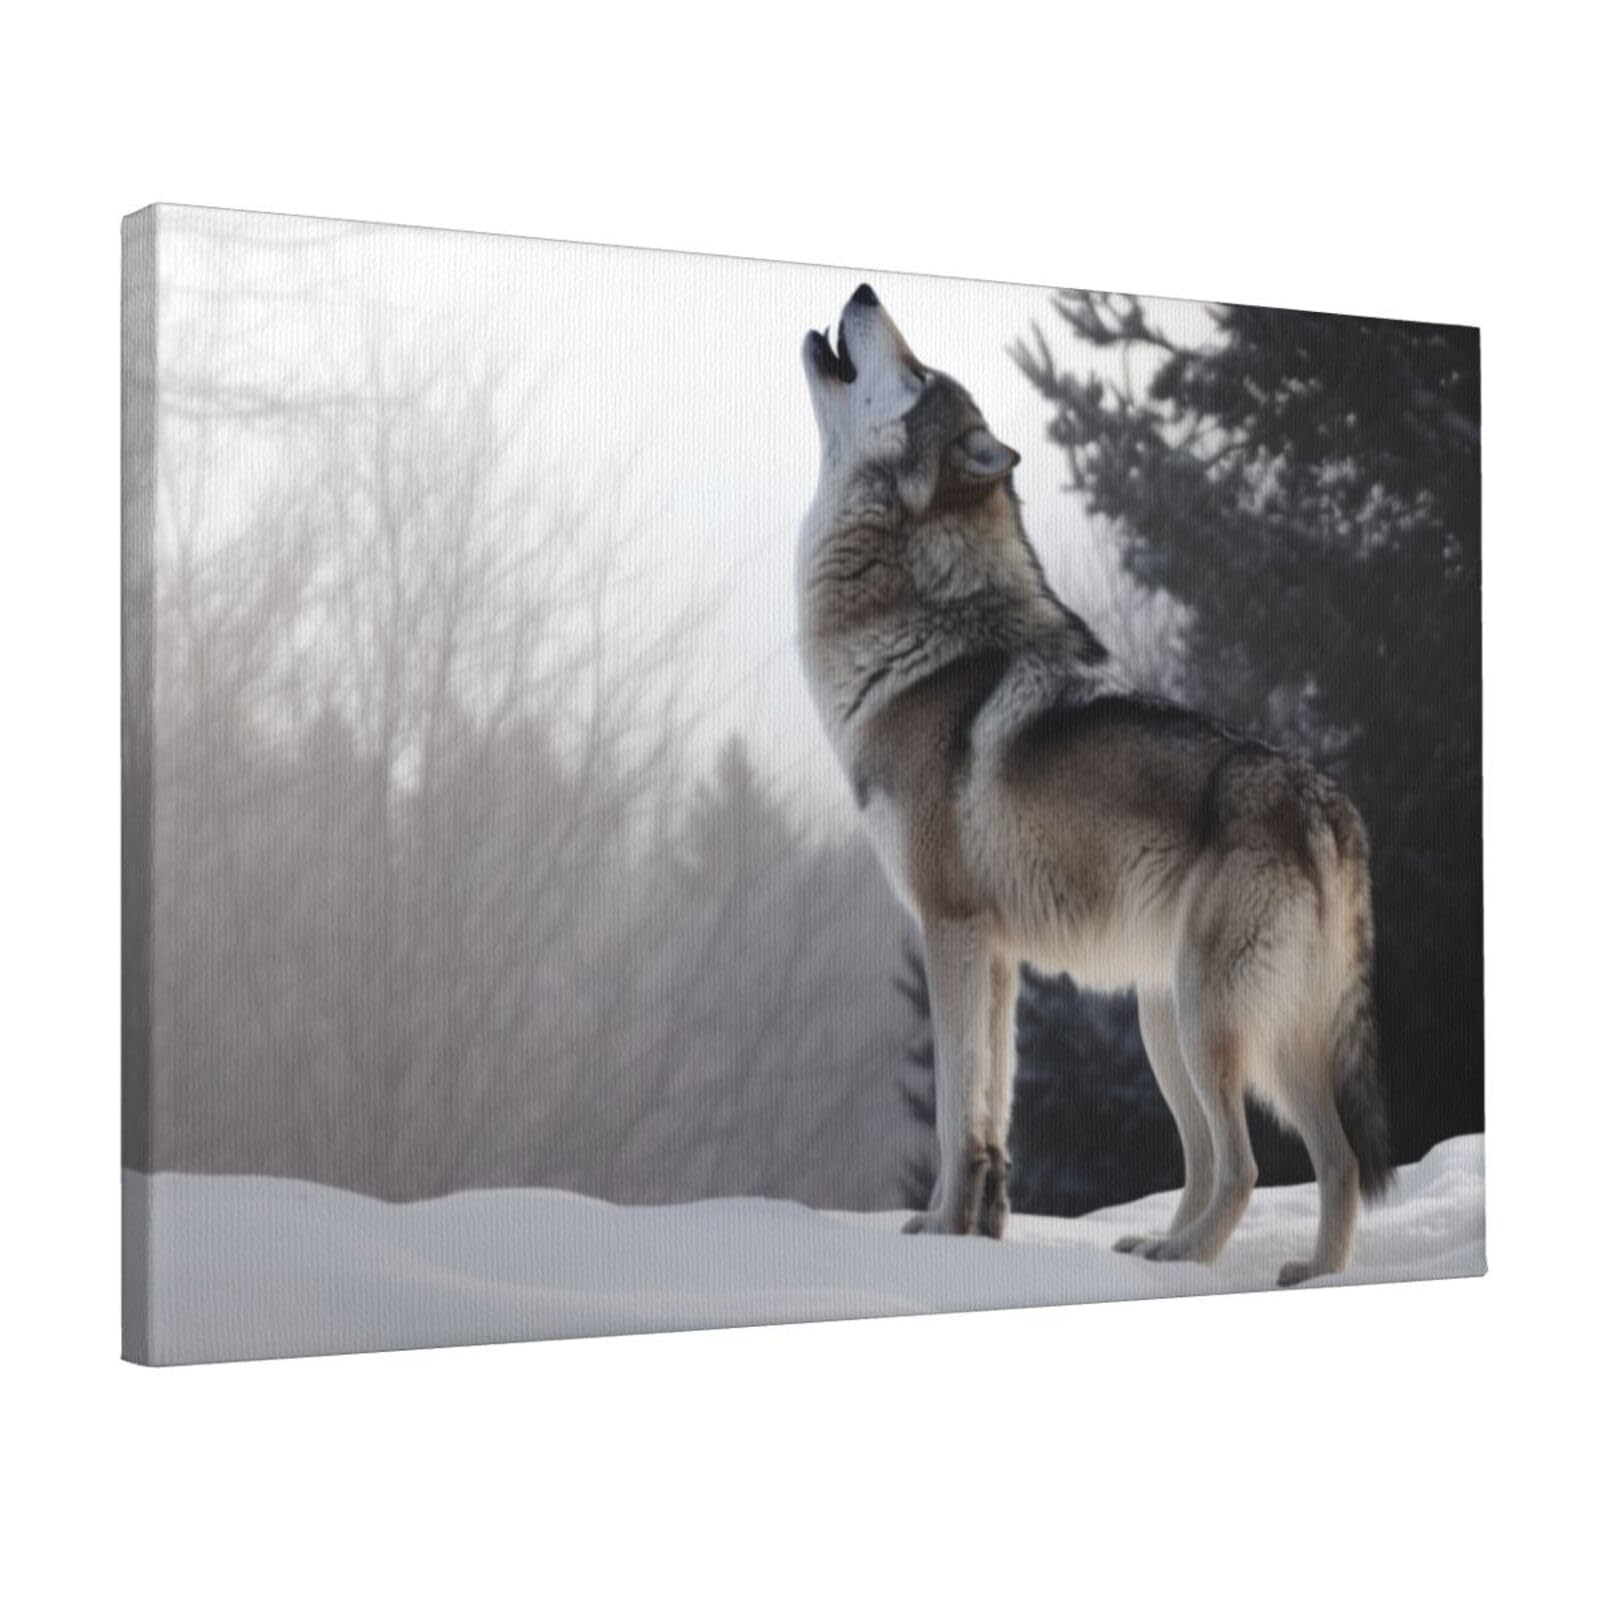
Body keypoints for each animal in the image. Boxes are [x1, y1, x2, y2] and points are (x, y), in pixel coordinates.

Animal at [796, 284, 1393, 1285]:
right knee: (1317, 1158)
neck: (918, 629)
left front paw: (944, 1230)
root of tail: (1324, 801)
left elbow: (955, 1110)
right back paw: (1274, 1267)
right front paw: (978, 1230)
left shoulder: (950, 929)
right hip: (1191, 1024)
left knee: (1246, 1165)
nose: (867, 291)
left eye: (916, 375)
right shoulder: (997, 954)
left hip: (1209, 1020)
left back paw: (1184, 1259)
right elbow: (991, 1110)